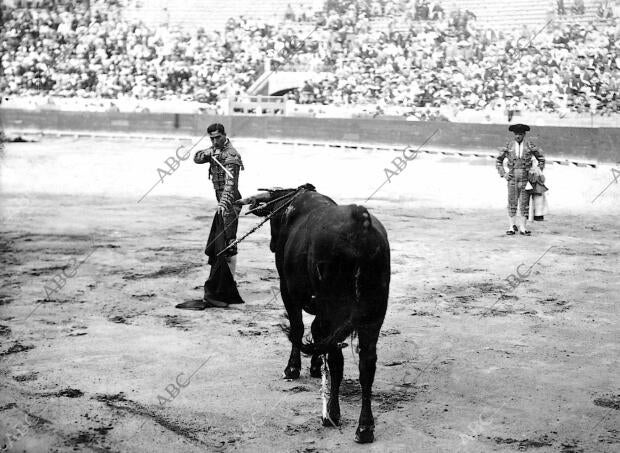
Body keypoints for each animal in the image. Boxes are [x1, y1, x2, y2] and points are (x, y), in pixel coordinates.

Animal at [235, 184, 390, 442]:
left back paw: (332, 415)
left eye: (274, 220)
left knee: (336, 357)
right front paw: (315, 366)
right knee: (366, 364)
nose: (272, 245)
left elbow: (298, 328)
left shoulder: (287, 290)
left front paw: (293, 368)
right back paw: (365, 428)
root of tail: (360, 224)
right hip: (373, 315)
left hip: (335, 308)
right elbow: (316, 333)